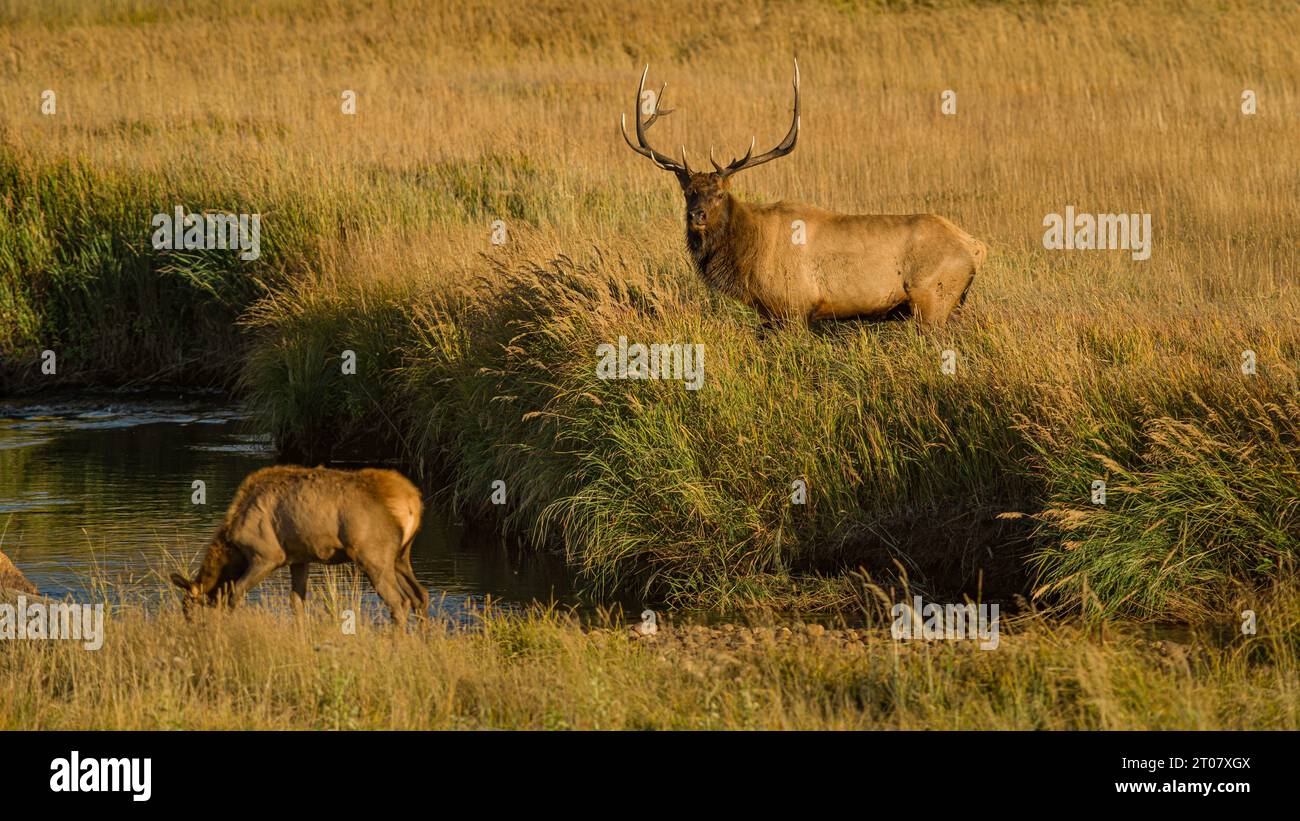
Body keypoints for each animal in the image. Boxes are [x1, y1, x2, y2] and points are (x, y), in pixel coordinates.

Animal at [169, 465, 426, 626]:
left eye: (189, 610)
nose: (193, 632)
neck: (234, 549)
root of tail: (412, 501)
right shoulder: (300, 558)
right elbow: (297, 602)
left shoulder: (267, 555)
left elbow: (235, 593)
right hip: (401, 556)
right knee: (419, 596)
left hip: (372, 554)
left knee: (399, 602)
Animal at [618, 61, 982, 327]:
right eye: (688, 192)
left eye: (720, 194)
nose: (698, 215)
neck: (749, 256)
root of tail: (975, 247)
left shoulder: (794, 307)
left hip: (933, 299)